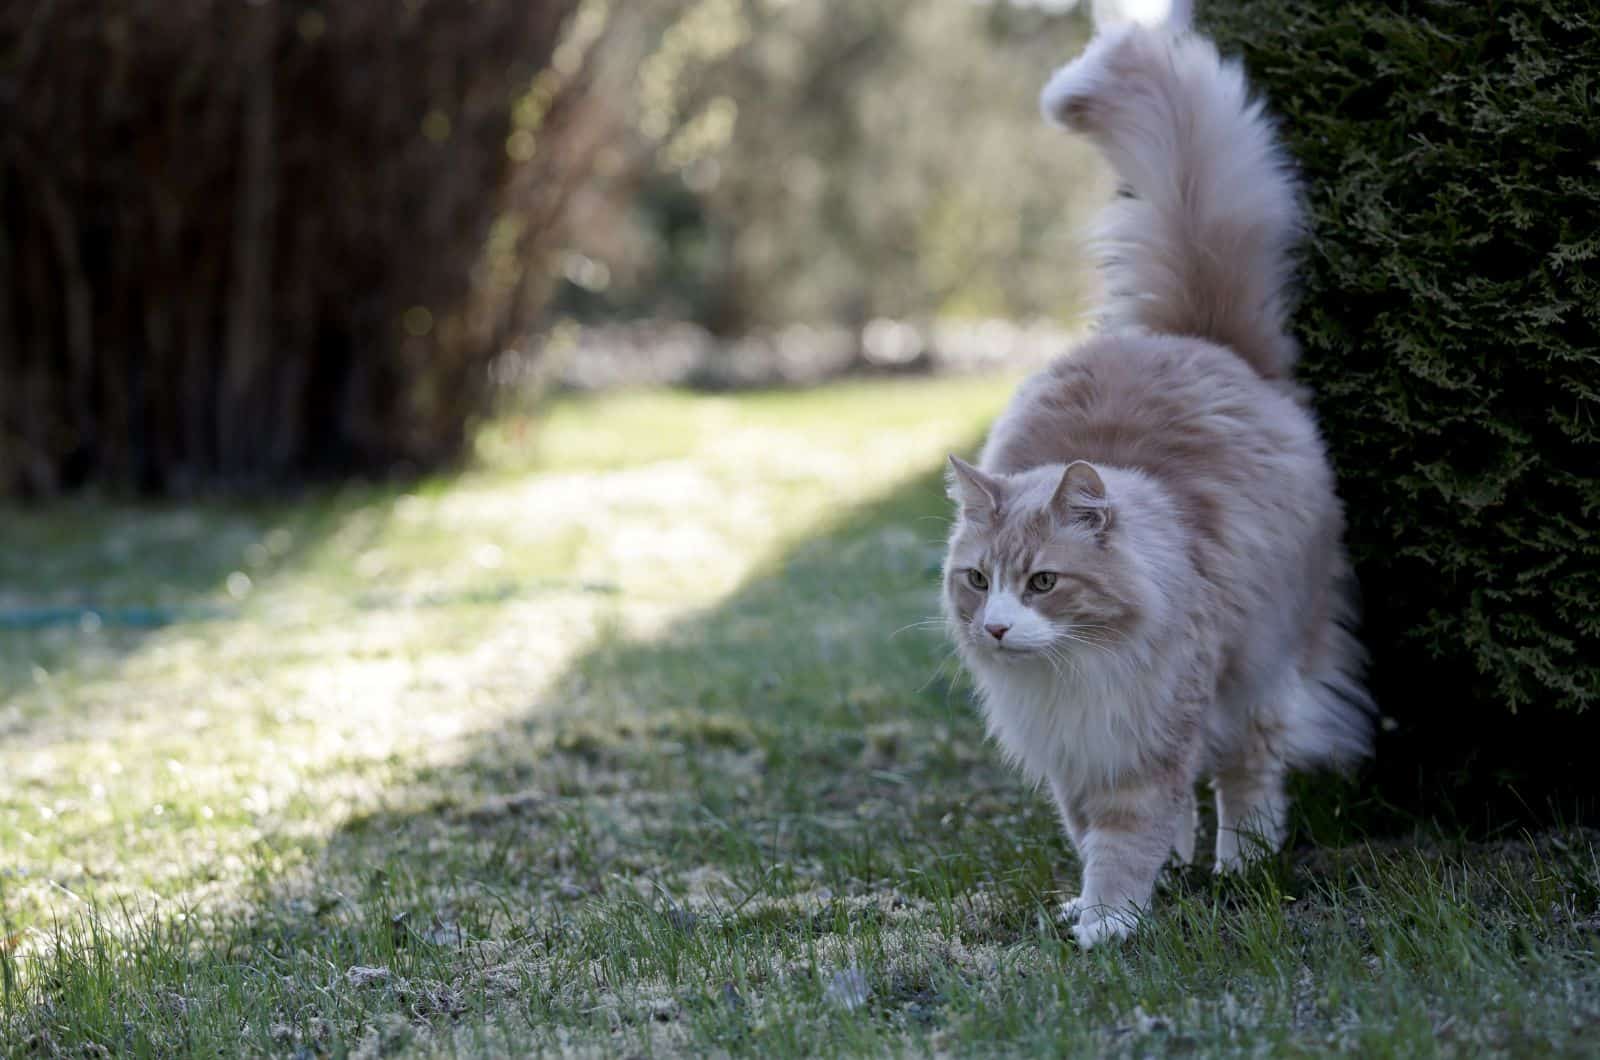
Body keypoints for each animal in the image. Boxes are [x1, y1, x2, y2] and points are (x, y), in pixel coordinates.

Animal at [934, 16, 1376, 947]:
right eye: (978, 581)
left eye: (1043, 582)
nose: (996, 629)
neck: (1074, 674)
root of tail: (1198, 340)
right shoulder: (1076, 756)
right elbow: (1098, 829)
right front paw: (1110, 899)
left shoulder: (1148, 736)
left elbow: (1128, 833)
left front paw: (1108, 922)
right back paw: (1183, 870)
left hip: (1259, 672)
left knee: (1249, 776)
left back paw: (1243, 865)